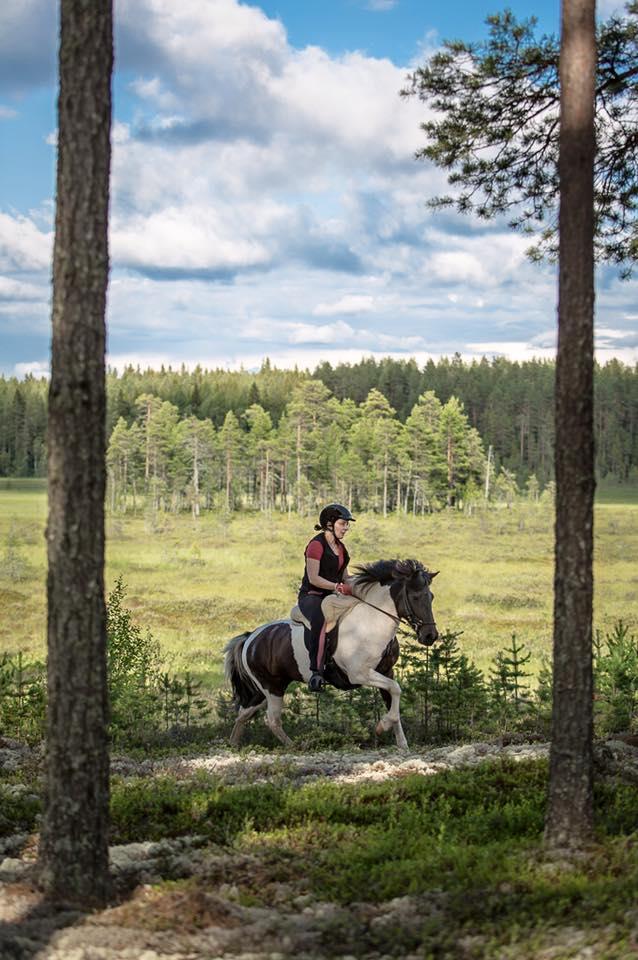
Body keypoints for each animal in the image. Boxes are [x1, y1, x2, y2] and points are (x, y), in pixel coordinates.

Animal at [225, 560, 440, 752]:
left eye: (431, 596)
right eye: (415, 597)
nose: (430, 636)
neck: (370, 623)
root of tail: (251, 637)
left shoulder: (387, 671)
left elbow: (393, 697)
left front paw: (402, 743)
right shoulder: (359, 674)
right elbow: (395, 690)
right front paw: (382, 726)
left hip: (263, 690)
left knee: (244, 713)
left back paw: (234, 745)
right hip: (272, 687)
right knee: (272, 720)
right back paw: (294, 746)